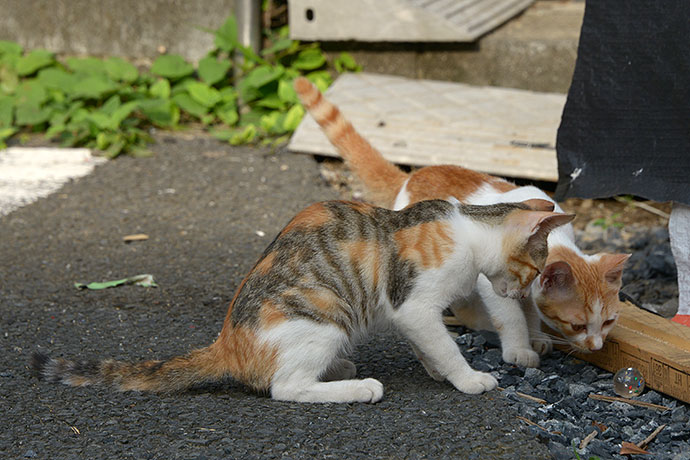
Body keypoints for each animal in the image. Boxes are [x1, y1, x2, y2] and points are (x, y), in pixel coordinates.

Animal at [32, 198, 568, 402]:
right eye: (536, 268)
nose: (521, 292)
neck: (469, 226)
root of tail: (227, 344)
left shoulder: (407, 314)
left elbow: (429, 344)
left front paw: (437, 370)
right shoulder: (413, 304)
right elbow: (442, 343)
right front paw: (468, 378)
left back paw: (341, 370)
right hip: (323, 317)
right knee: (286, 387)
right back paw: (357, 388)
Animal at [292, 77, 628, 368]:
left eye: (609, 322)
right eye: (577, 325)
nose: (596, 346)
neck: (551, 235)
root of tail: (412, 176)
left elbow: (531, 309)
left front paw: (537, 337)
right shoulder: (492, 282)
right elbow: (511, 317)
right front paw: (520, 348)